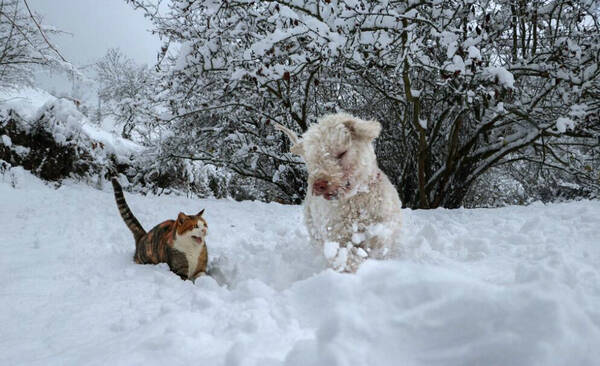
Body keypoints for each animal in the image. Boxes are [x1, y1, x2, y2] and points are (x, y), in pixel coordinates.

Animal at [278, 113, 404, 270]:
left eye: (341, 153)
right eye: (312, 159)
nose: (318, 184)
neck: (356, 199)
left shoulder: (384, 225)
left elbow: (379, 241)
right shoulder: (338, 236)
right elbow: (347, 258)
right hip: (313, 226)